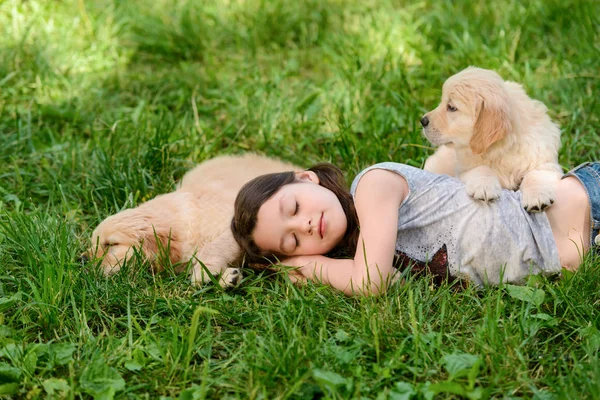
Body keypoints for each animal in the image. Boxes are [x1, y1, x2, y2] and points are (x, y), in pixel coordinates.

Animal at [422, 67, 564, 211]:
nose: (423, 121)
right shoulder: (464, 169)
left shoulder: (546, 163)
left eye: (451, 107)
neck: (501, 148)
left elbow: (535, 174)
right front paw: (484, 187)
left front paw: (537, 196)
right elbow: (482, 168)